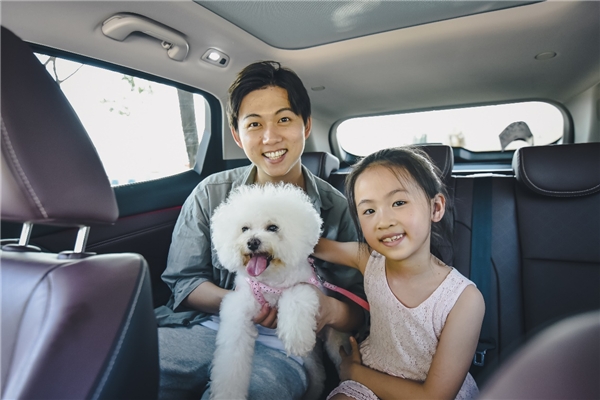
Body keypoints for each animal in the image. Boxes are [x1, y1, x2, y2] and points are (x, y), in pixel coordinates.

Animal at [209, 182, 348, 400]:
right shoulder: (239, 309)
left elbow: (295, 296)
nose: (252, 242)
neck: (270, 282)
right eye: (244, 229)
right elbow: (232, 358)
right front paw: (228, 393)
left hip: (335, 341)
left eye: (273, 227)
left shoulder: (308, 286)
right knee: (317, 373)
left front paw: (296, 338)